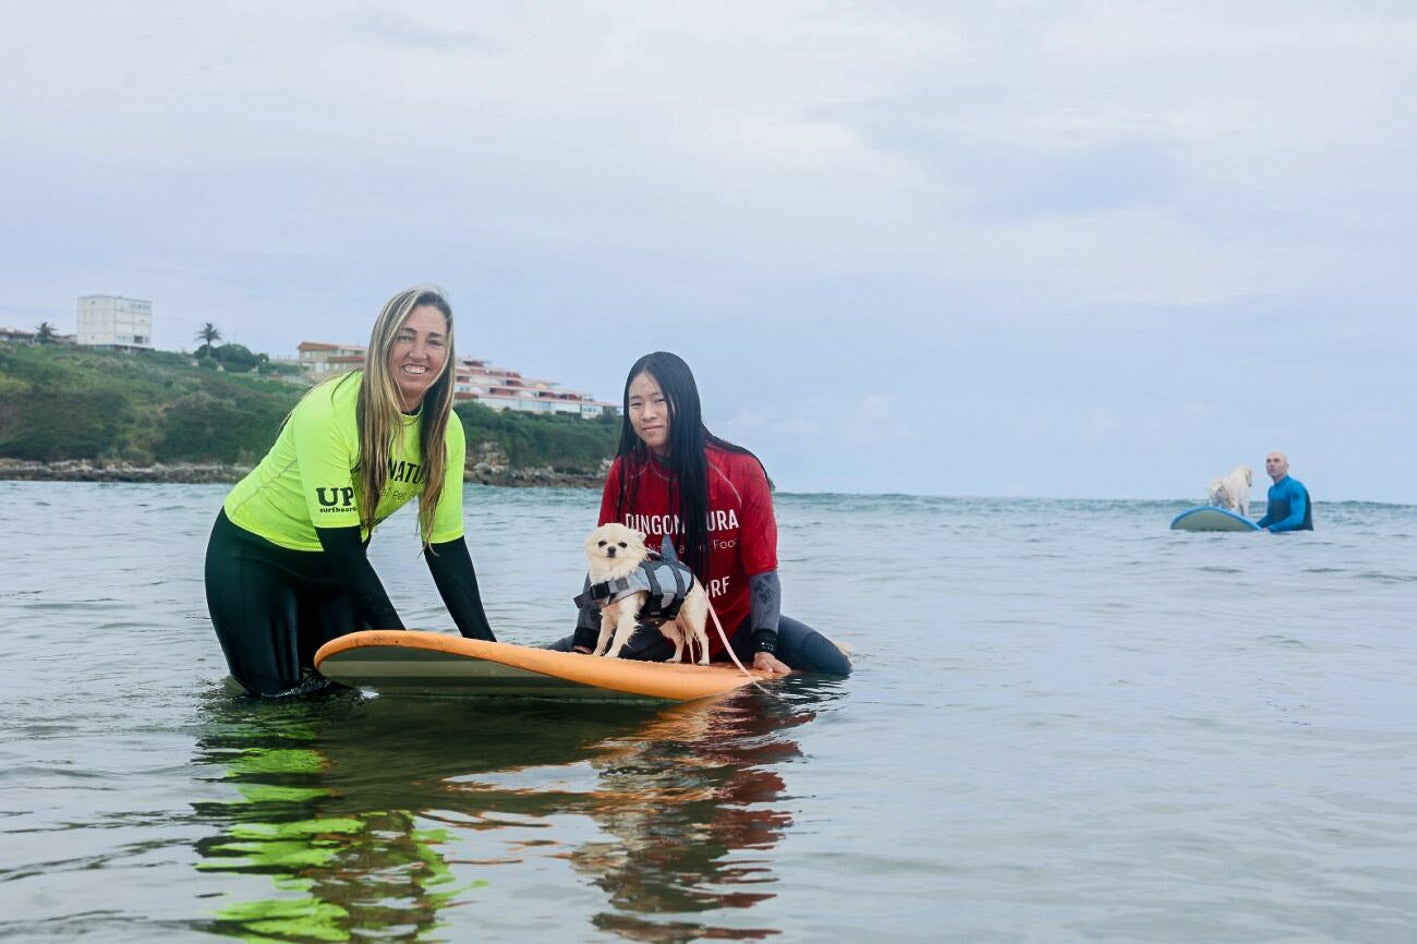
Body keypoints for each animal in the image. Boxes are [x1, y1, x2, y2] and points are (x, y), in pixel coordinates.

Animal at [578, 521, 708, 660]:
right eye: (601, 543)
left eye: (623, 544)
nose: (611, 548)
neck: (613, 572)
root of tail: (692, 576)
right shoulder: (607, 617)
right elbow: (601, 639)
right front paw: (595, 655)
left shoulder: (626, 616)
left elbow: (617, 638)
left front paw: (611, 654)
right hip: (665, 623)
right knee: (680, 638)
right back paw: (676, 659)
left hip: (692, 615)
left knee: (704, 638)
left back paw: (704, 660)